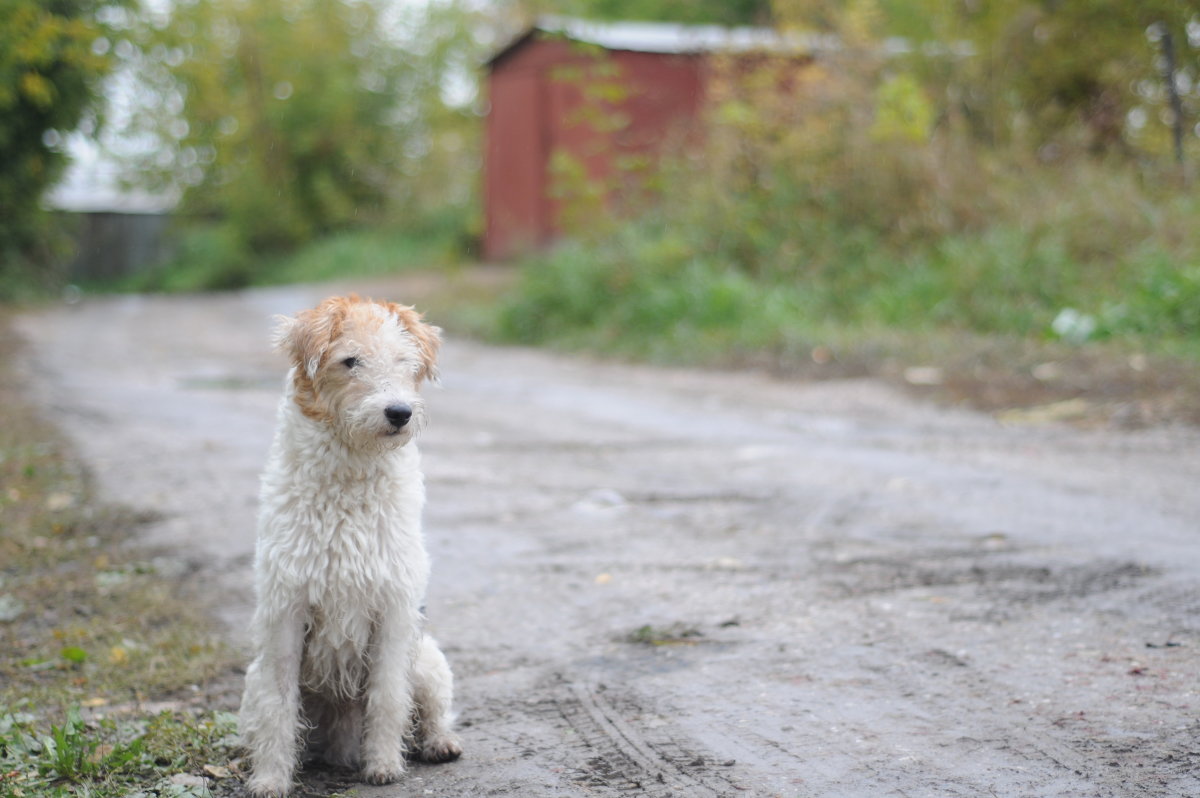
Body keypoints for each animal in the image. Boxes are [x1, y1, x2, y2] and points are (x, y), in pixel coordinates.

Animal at [237, 295, 458, 792]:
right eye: (350, 361)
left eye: (405, 361)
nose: (399, 413)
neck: (350, 484)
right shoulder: (285, 612)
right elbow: (278, 707)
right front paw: (270, 780)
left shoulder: (393, 611)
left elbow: (388, 697)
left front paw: (383, 766)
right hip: (253, 679)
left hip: (428, 658)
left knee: (434, 711)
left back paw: (438, 744)